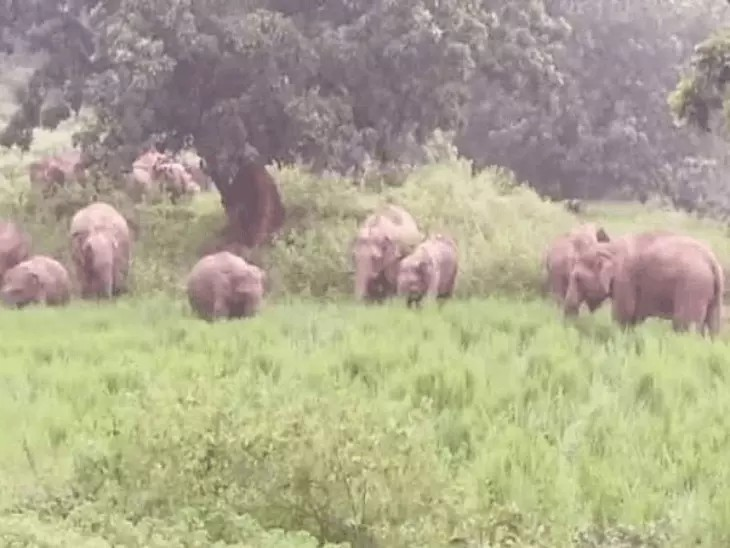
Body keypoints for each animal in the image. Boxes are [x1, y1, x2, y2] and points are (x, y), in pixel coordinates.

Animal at [564, 231, 724, 336]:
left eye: (577, 278)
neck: (610, 248)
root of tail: (712, 261)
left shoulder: (625, 278)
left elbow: (624, 313)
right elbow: (635, 316)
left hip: (692, 287)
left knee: (683, 325)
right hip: (713, 294)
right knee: (713, 326)